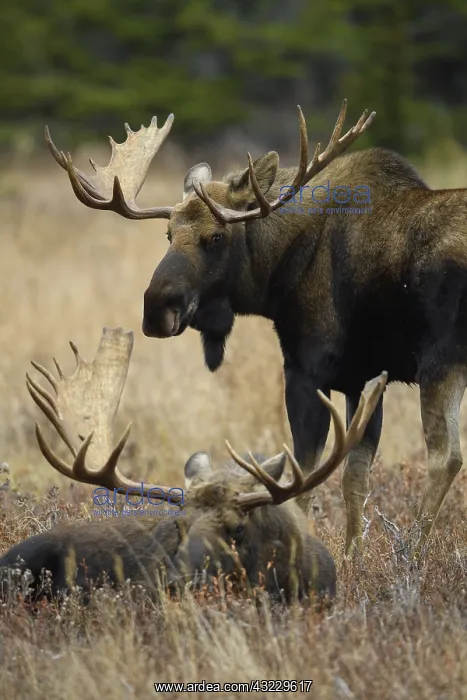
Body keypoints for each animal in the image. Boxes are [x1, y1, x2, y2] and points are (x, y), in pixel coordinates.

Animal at [43, 99, 457, 559]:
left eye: (216, 237)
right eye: (168, 233)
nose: (155, 309)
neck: (277, 273)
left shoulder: (306, 369)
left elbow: (301, 479)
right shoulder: (362, 378)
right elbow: (355, 477)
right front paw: (352, 557)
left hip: (440, 360)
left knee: (446, 456)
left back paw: (414, 554)